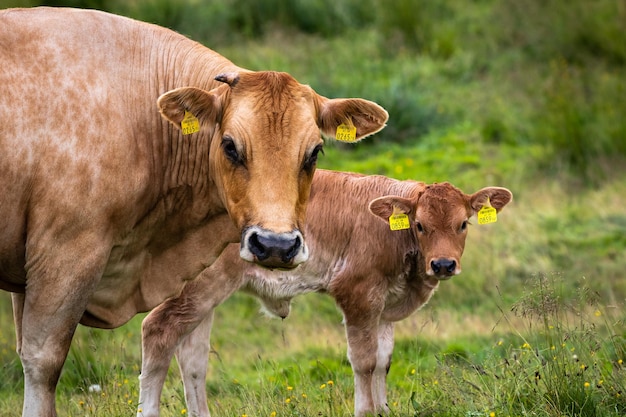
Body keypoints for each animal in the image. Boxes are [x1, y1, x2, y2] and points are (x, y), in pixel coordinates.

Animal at [138, 169, 512, 416]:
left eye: (463, 223)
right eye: (420, 225)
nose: (444, 264)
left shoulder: (384, 307)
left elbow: (383, 361)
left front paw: (384, 409)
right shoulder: (357, 294)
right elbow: (364, 361)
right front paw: (366, 410)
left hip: (206, 297)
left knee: (192, 358)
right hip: (197, 287)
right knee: (158, 332)